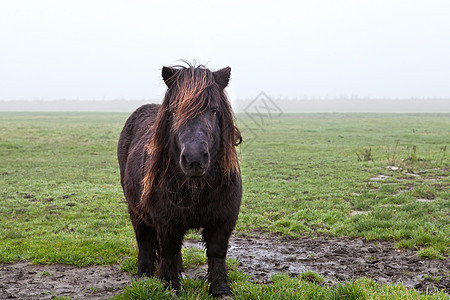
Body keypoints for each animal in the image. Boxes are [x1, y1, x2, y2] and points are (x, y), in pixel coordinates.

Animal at [117, 62, 243, 296]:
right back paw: (144, 275)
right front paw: (170, 286)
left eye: (214, 110)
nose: (194, 159)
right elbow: (168, 250)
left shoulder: (223, 219)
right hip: (136, 209)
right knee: (144, 239)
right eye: (175, 110)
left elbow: (216, 252)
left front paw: (221, 289)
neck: (197, 188)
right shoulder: (166, 221)